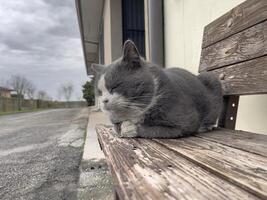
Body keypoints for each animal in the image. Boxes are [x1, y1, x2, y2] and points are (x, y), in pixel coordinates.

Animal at [93, 40, 223, 138]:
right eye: (99, 93)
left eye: (115, 86)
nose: (103, 101)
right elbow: (116, 126)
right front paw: (119, 127)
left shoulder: (187, 121)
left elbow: (154, 130)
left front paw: (129, 128)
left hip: (211, 78)